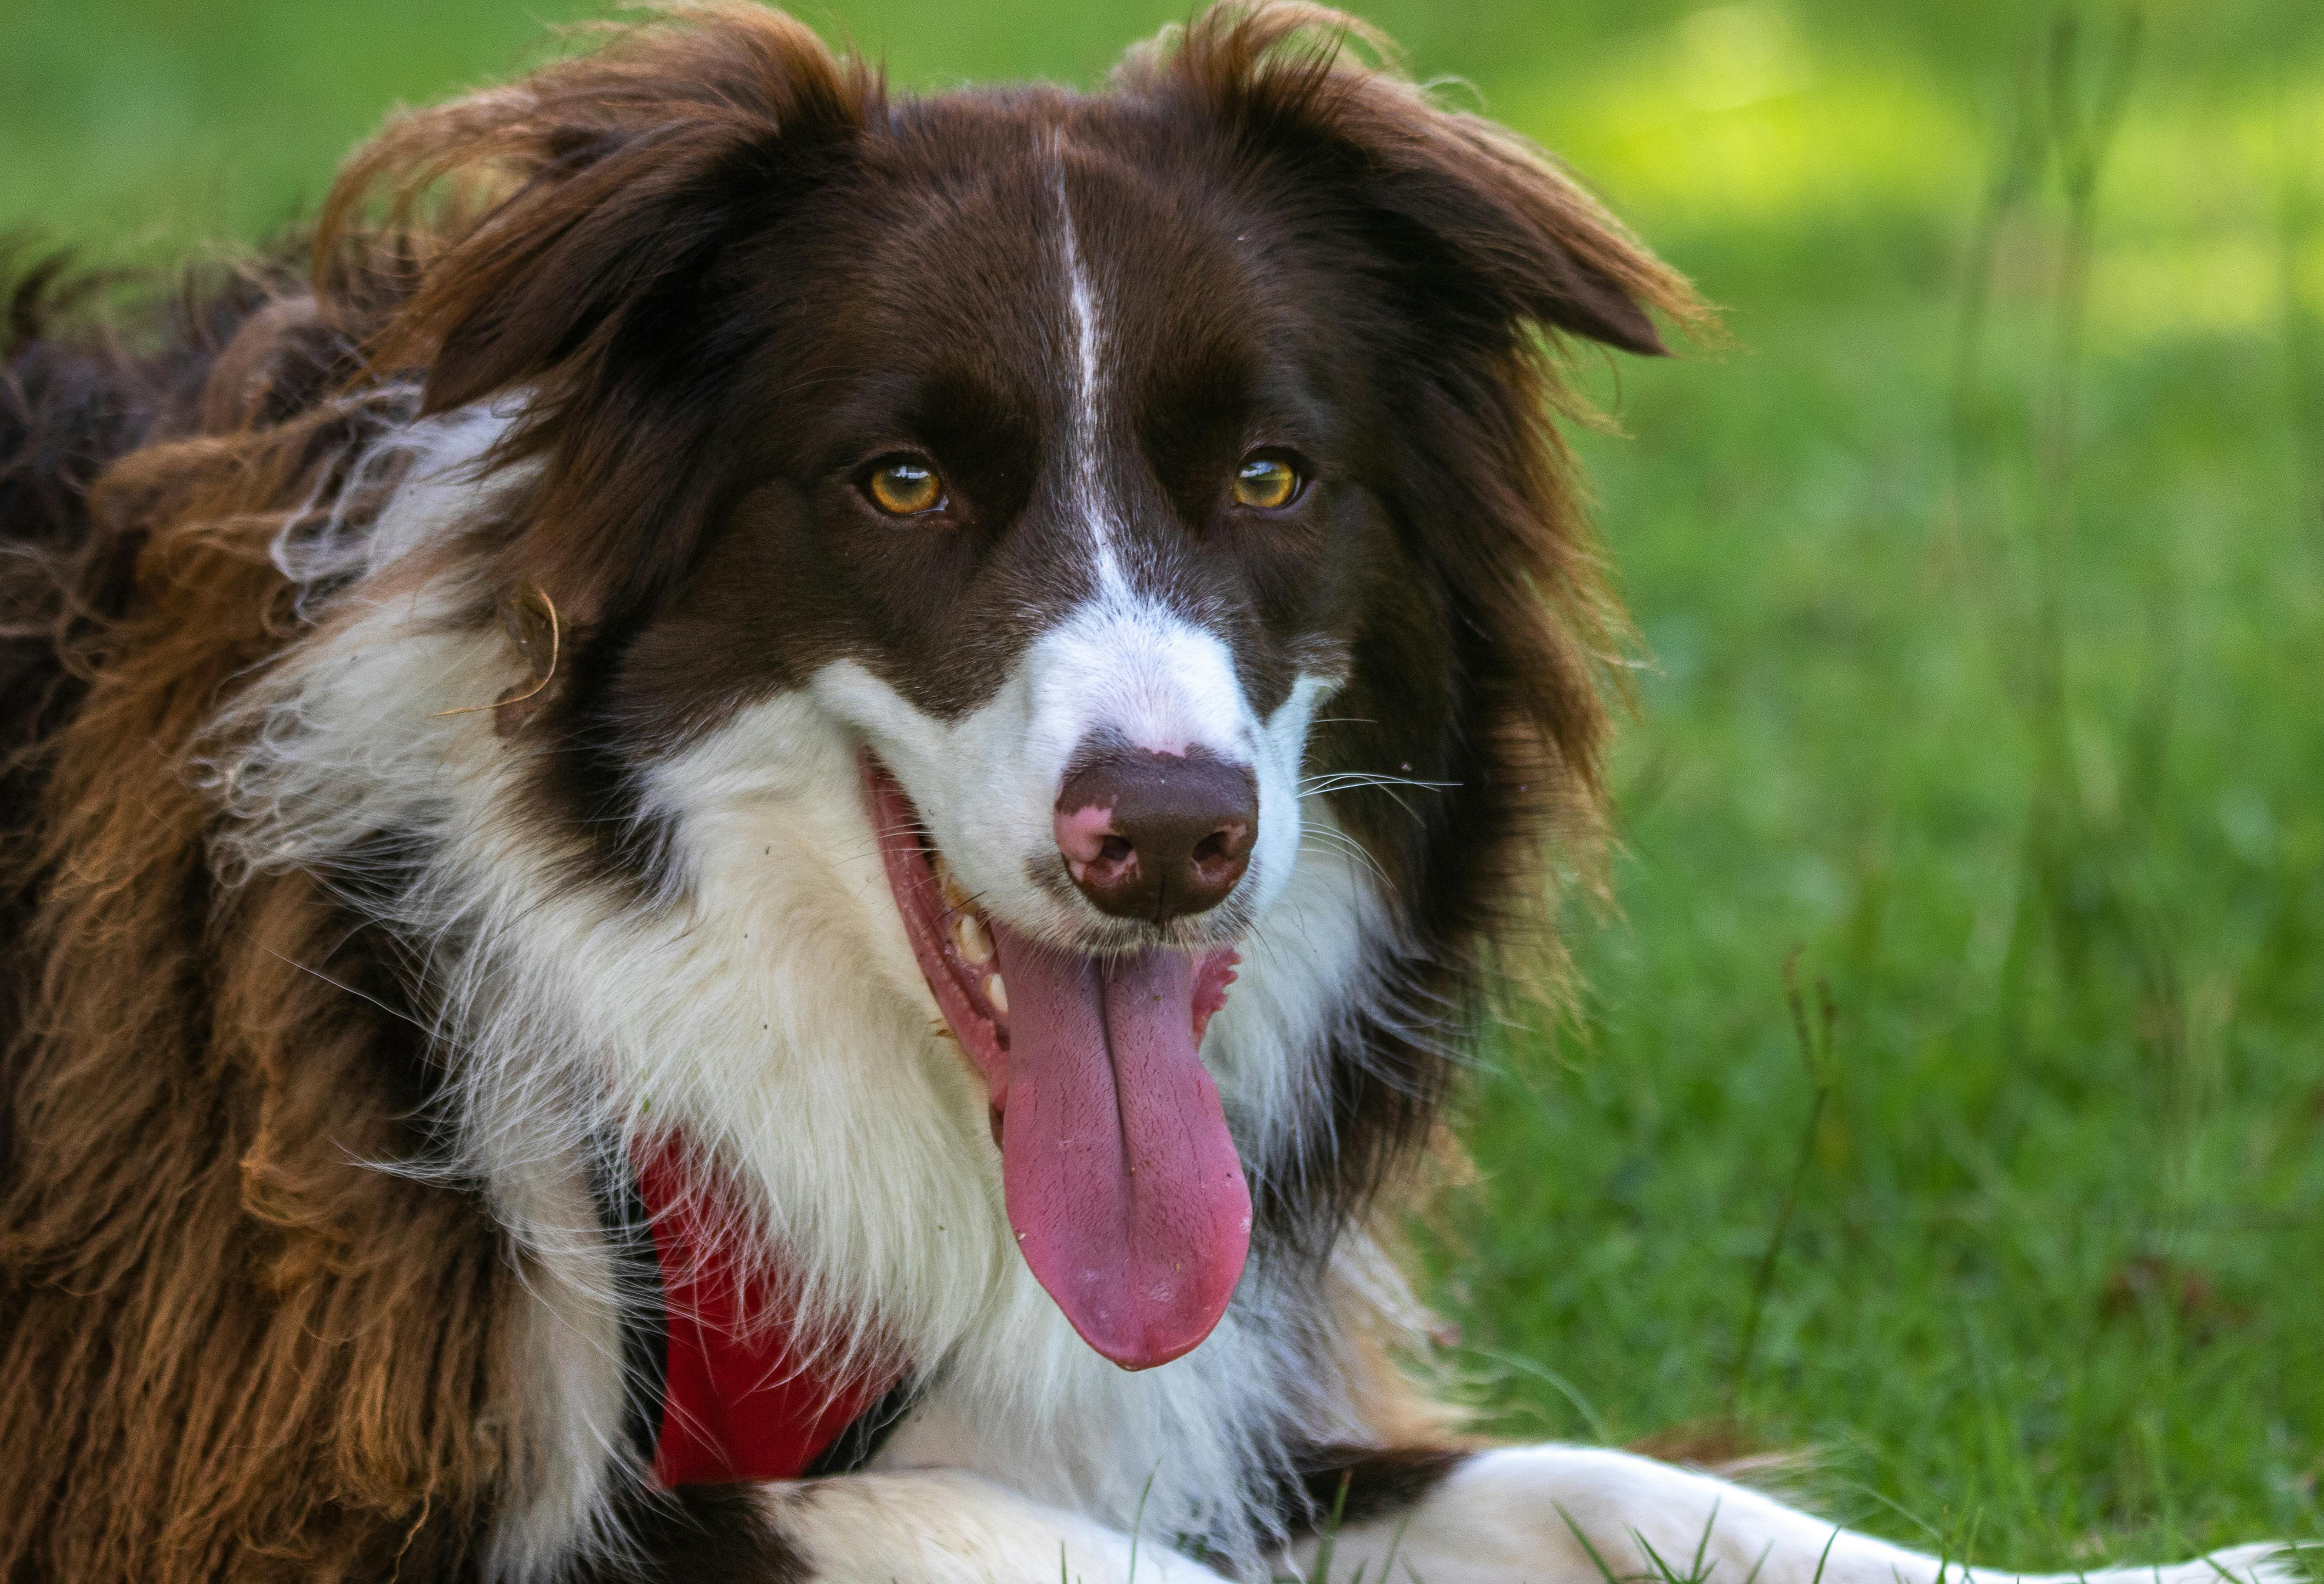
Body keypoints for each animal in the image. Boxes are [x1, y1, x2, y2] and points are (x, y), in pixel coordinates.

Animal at [0, 3, 2296, 1579]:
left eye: (1269, 475)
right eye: (897, 482)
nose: (1172, 833)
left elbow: (1590, 1480)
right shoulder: (294, 1475)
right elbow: (955, 1523)